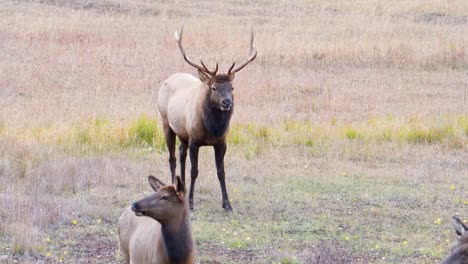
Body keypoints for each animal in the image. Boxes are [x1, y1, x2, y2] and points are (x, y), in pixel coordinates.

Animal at [159, 25, 258, 211]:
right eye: (214, 87)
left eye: (232, 87)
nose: (227, 101)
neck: (212, 129)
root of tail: (167, 79)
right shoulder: (194, 139)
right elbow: (195, 171)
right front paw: (191, 203)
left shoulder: (221, 141)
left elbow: (221, 171)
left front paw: (227, 204)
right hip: (166, 123)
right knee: (172, 159)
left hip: (183, 133)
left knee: (181, 155)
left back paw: (181, 188)